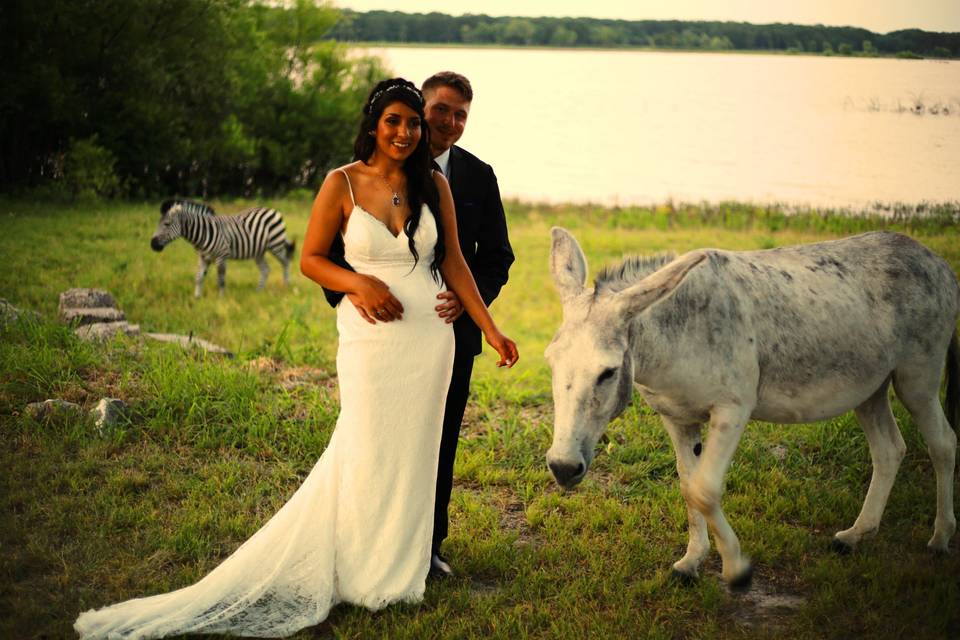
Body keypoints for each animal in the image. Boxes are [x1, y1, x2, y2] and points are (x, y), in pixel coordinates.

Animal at [152, 198, 296, 298]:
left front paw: (221, 299)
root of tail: (273, 210)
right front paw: (197, 298)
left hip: (276, 245)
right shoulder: (203, 257)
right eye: (159, 223)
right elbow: (198, 277)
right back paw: (258, 292)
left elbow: (220, 279)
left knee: (285, 262)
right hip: (258, 251)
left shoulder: (221, 256)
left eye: (167, 224)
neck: (203, 233)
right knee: (266, 269)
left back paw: (287, 285)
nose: (152, 245)